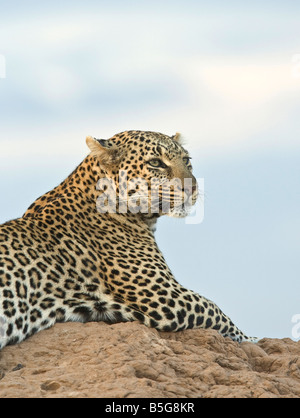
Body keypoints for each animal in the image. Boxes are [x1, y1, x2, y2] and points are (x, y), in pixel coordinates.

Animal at [0, 131, 258, 350]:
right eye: (156, 162)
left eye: (187, 160)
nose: (193, 188)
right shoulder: (164, 296)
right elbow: (213, 308)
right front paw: (251, 339)